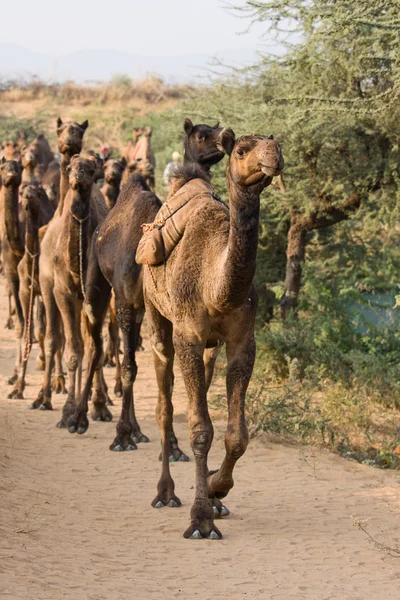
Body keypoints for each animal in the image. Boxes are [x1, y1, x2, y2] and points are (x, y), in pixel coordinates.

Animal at [66, 118, 228, 454]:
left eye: (215, 128)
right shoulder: (126, 301)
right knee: (95, 345)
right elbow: (129, 366)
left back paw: (138, 430)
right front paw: (121, 435)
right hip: (97, 287)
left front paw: (173, 446)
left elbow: (166, 374)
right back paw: (79, 418)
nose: (226, 137)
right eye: (201, 134)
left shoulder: (165, 311)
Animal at [144, 127, 284, 540]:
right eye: (241, 150)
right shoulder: (187, 335)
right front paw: (200, 519)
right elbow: (199, 429)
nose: (274, 154)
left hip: (212, 346)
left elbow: (237, 434)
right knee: (164, 404)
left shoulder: (242, 342)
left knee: (203, 385)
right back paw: (166, 492)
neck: (214, 284)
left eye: (277, 143)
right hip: (156, 314)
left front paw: (217, 489)